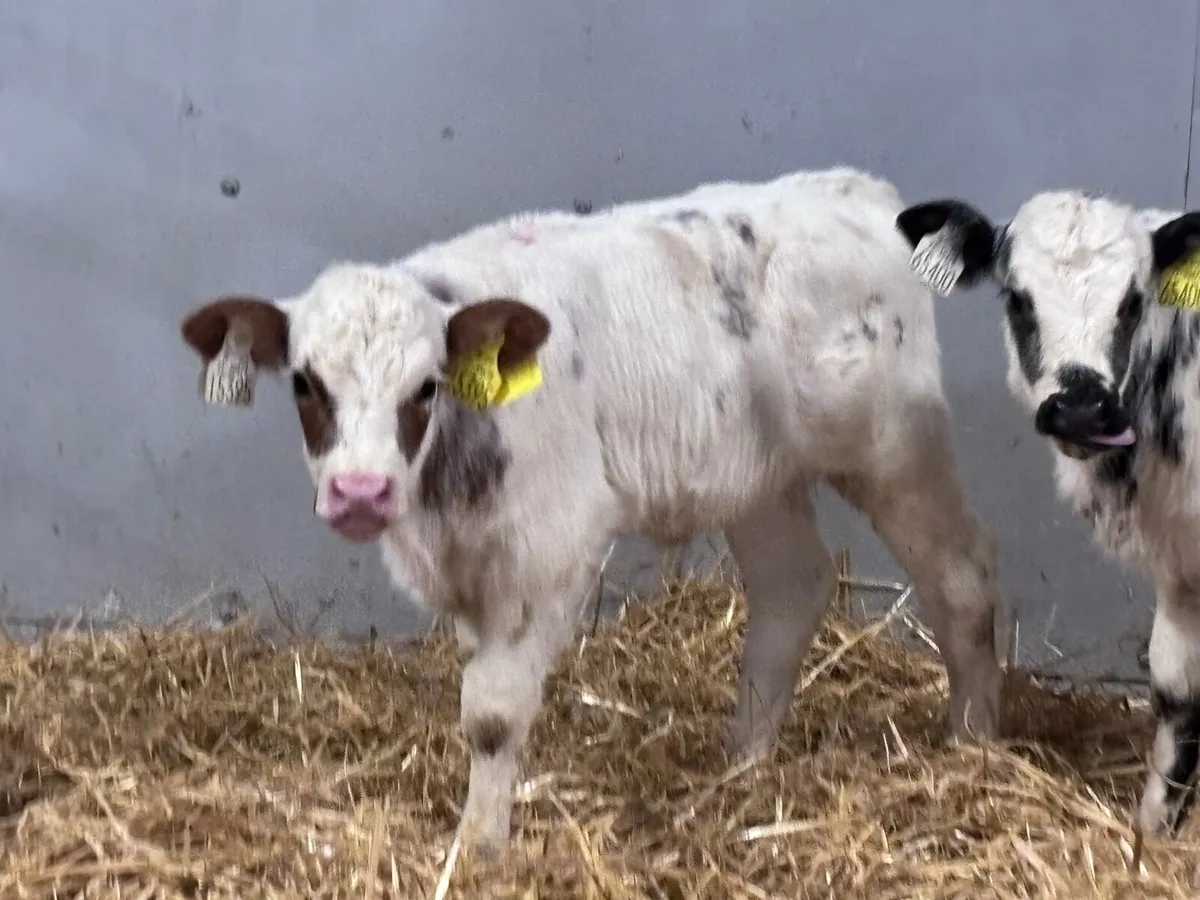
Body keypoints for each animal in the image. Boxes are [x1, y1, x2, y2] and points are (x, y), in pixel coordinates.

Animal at [180, 166, 1008, 852]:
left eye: (425, 386)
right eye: (304, 383)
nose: (359, 492)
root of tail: (855, 190)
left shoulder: (547, 549)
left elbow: (492, 714)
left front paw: (478, 849)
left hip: (896, 446)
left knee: (962, 578)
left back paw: (974, 747)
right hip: (758, 476)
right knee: (792, 588)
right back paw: (742, 765)